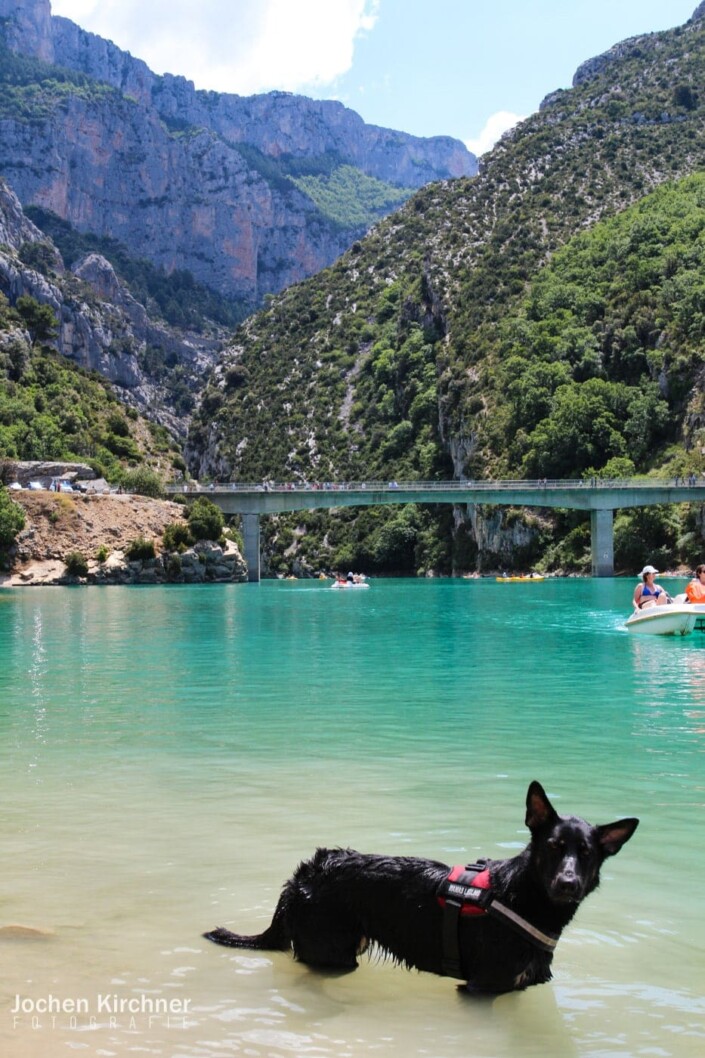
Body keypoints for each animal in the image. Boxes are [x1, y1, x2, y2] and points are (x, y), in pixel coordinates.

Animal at [204, 782, 635, 994]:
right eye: (553, 848)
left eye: (586, 854)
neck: (523, 900)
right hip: (331, 953)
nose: (568, 883)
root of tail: (302, 876)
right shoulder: (481, 988)